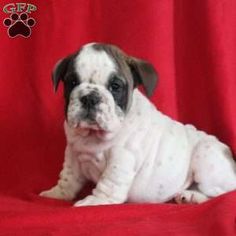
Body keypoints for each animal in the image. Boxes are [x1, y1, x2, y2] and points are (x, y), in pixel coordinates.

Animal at [39, 42, 235, 206]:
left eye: (115, 87)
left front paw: (95, 201)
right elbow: (68, 177)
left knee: (221, 193)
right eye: (72, 82)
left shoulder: (122, 156)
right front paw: (58, 193)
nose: (89, 97)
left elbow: (109, 181)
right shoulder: (73, 152)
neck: (92, 136)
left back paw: (193, 196)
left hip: (205, 157)